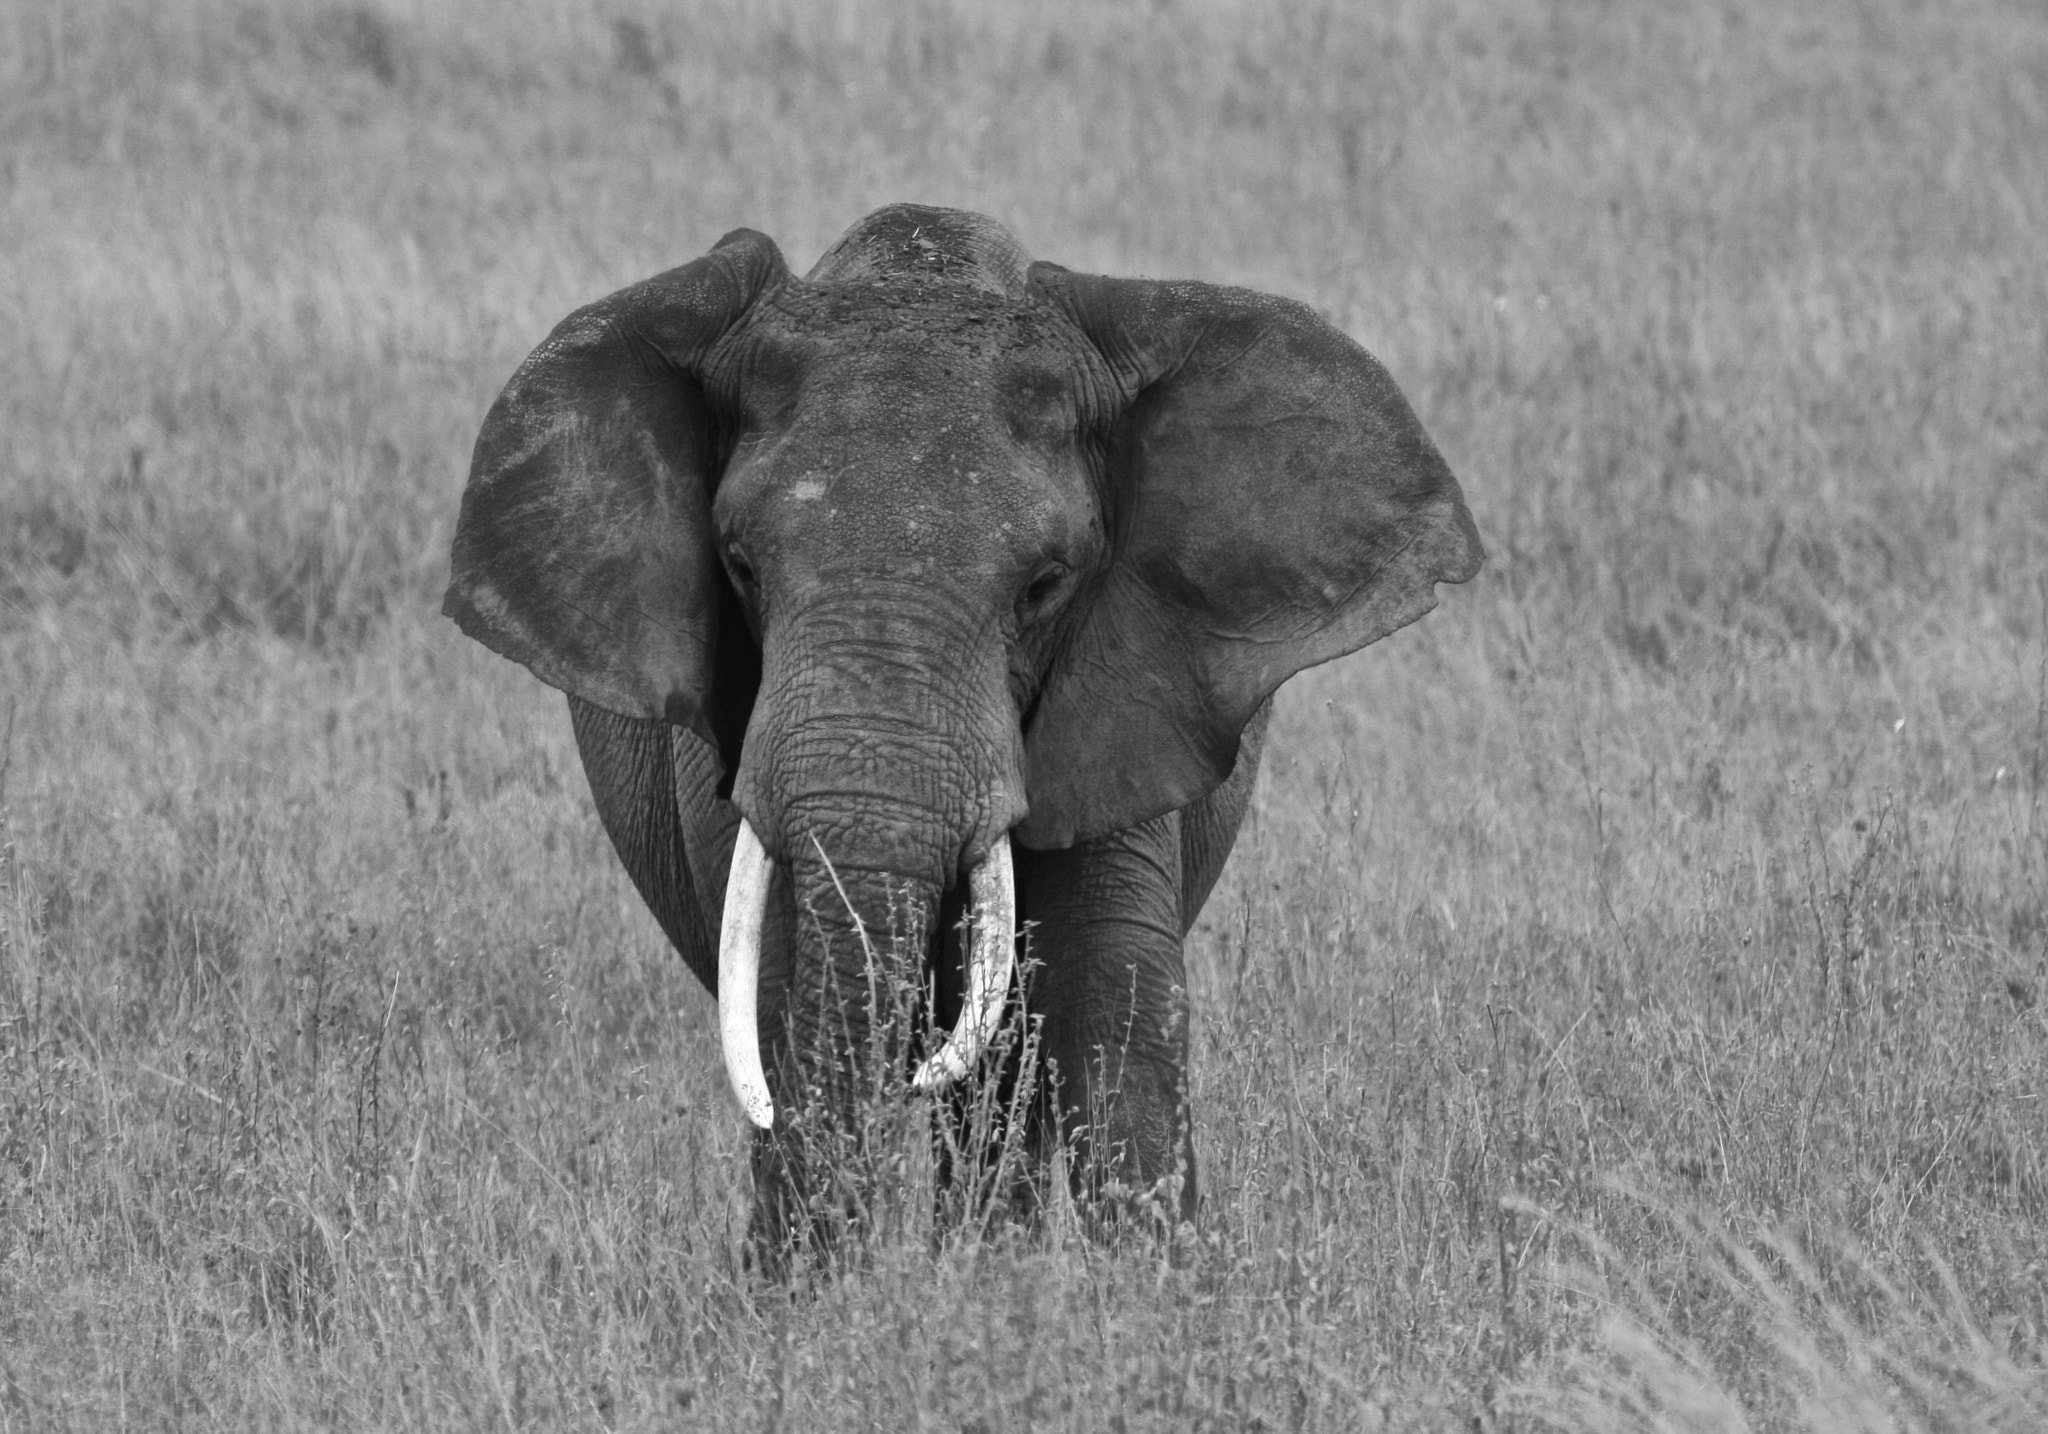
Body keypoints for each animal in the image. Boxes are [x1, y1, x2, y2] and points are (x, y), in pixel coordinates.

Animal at [444, 204, 1481, 1267]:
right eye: (737, 565)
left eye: (1045, 585)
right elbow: (782, 995)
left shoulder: (1127, 693)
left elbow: (1111, 986)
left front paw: (1135, 1298)